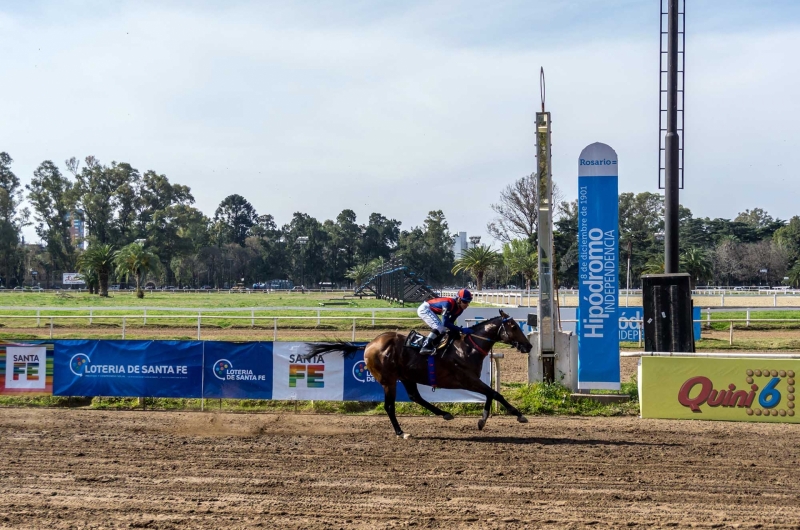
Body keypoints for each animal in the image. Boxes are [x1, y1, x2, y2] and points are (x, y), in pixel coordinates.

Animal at [306, 308, 532, 436]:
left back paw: (444, 414)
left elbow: (490, 394)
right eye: (513, 326)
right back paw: (401, 432)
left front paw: (482, 420)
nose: (529, 346)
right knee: (389, 406)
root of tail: (369, 344)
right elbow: (495, 393)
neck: (468, 347)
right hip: (388, 380)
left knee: (416, 397)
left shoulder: (471, 380)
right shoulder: (466, 379)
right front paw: (519, 415)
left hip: (407, 377)